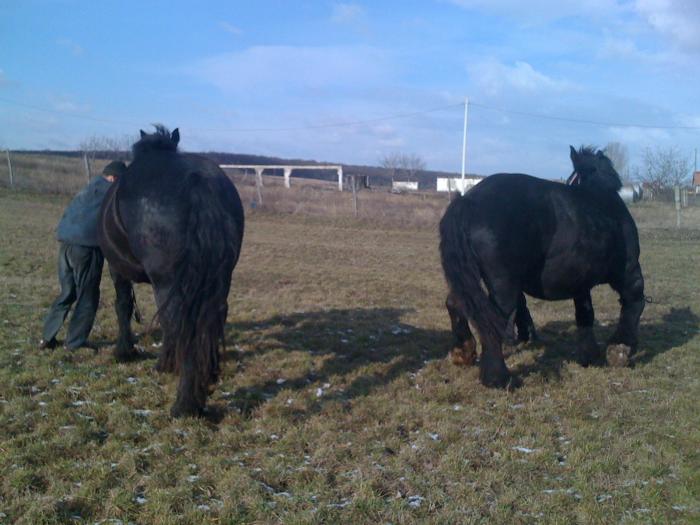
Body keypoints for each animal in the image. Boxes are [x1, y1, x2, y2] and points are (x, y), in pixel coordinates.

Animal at [98, 125, 245, 416]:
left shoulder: (117, 269)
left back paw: (185, 402)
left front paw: (124, 351)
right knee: (211, 317)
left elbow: (123, 306)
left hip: (167, 281)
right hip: (218, 279)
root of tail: (198, 181)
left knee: (179, 322)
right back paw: (207, 375)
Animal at [440, 145, 644, 386]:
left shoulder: (580, 282)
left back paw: (463, 353)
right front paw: (620, 348)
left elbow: (585, 314)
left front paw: (590, 355)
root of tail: (469, 201)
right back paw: (498, 378)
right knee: (491, 323)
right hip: (503, 285)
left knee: (456, 303)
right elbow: (634, 302)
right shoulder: (628, 271)